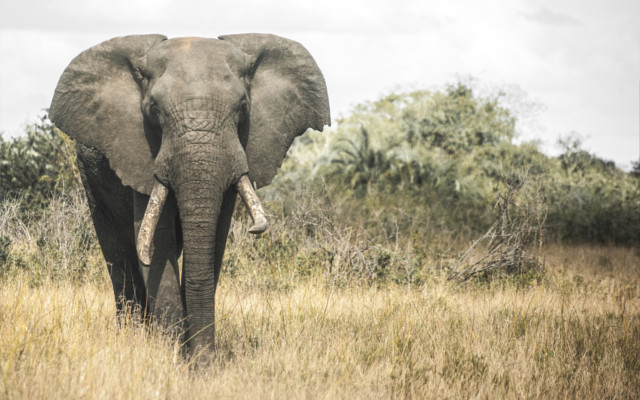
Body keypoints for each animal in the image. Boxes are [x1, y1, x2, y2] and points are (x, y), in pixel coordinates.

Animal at [49, 34, 330, 359]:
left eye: (243, 107)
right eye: (154, 109)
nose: (203, 359)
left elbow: (214, 242)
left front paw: (194, 358)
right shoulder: (139, 151)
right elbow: (157, 243)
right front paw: (172, 355)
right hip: (90, 174)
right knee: (119, 256)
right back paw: (134, 335)